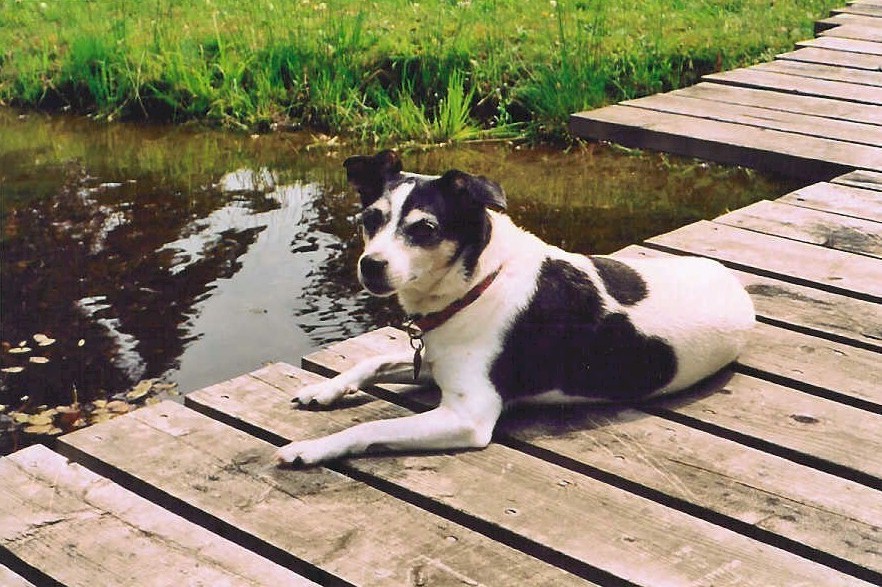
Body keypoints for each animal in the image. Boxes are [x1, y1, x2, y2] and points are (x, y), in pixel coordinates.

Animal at [274, 150, 748, 468]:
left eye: (425, 228)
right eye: (370, 220)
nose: (370, 265)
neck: (479, 283)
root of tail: (733, 283)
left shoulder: (467, 416)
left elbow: (371, 428)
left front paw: (311, 448)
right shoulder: (434, 364)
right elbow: (372, 361)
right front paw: (326, 390)